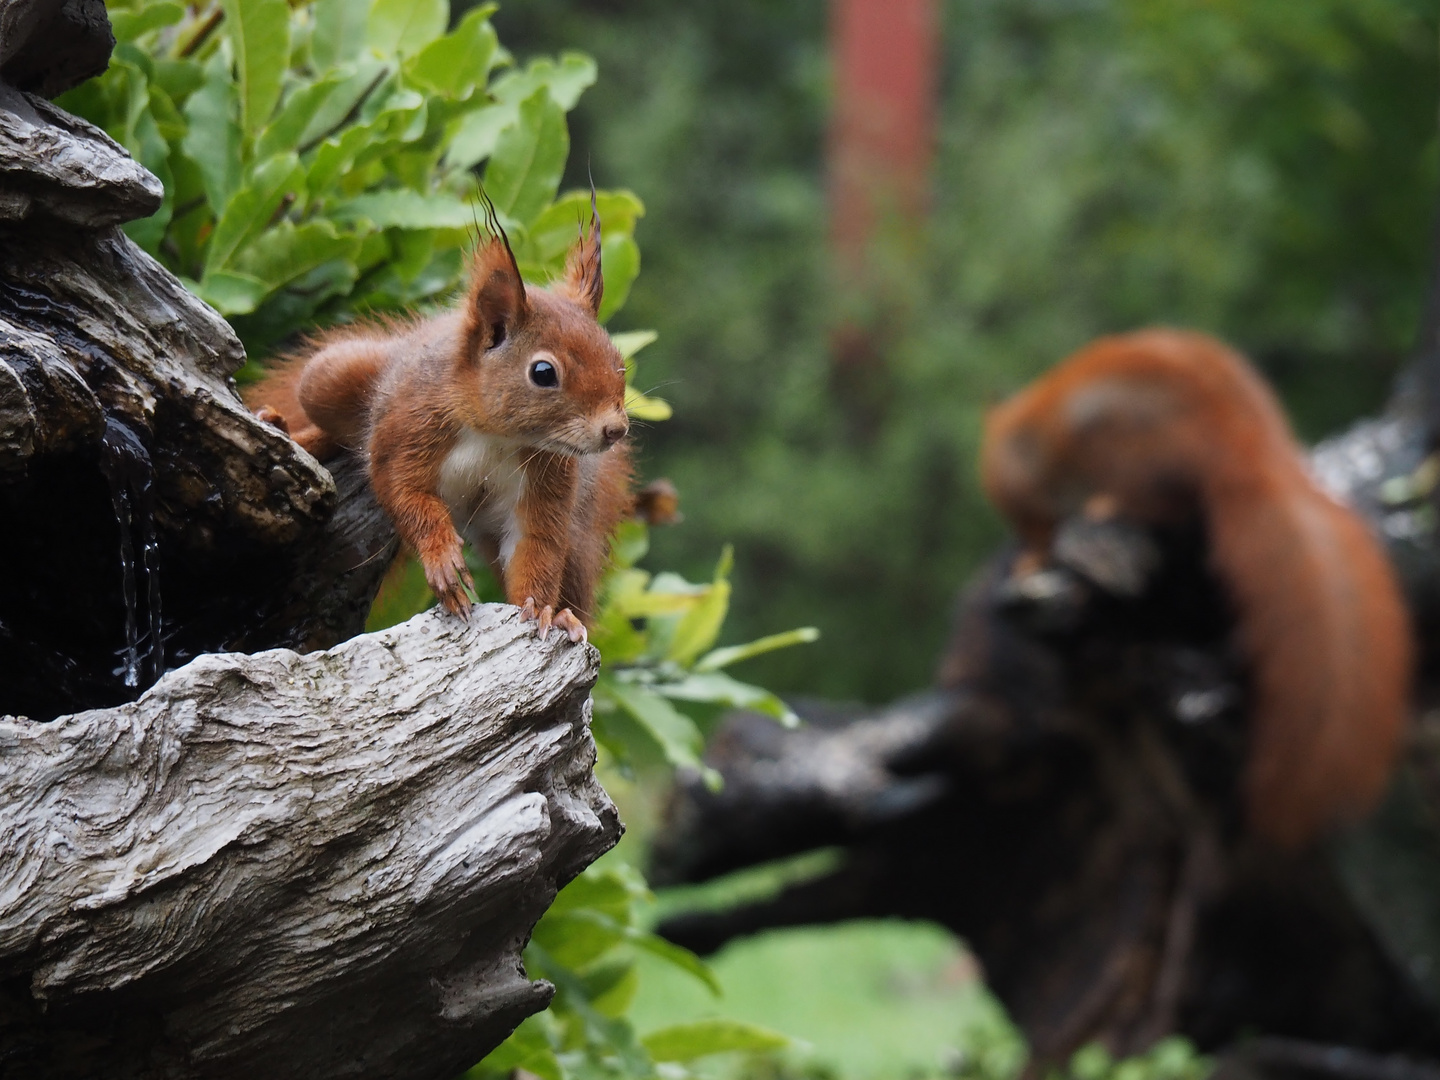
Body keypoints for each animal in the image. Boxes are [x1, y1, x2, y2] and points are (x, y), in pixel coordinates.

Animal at [247, 197, 630, 642]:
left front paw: (543, 611)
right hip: (331, 378)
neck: (496, 435)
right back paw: (289, 430)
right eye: (543, 373)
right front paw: (444, 561)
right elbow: (407, 496)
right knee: (343, 426)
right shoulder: (409, 427)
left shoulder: (548, 478)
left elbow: (536, 546)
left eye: (619, 362)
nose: (615, 429)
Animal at [984, 325, 1411, 852]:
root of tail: (1241, 449)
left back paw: (1108, 507)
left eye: (1012, 506)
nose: (1022, 541)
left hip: (1129, 452)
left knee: (1158, 502)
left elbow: (1047, 532)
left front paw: (1032, 558)